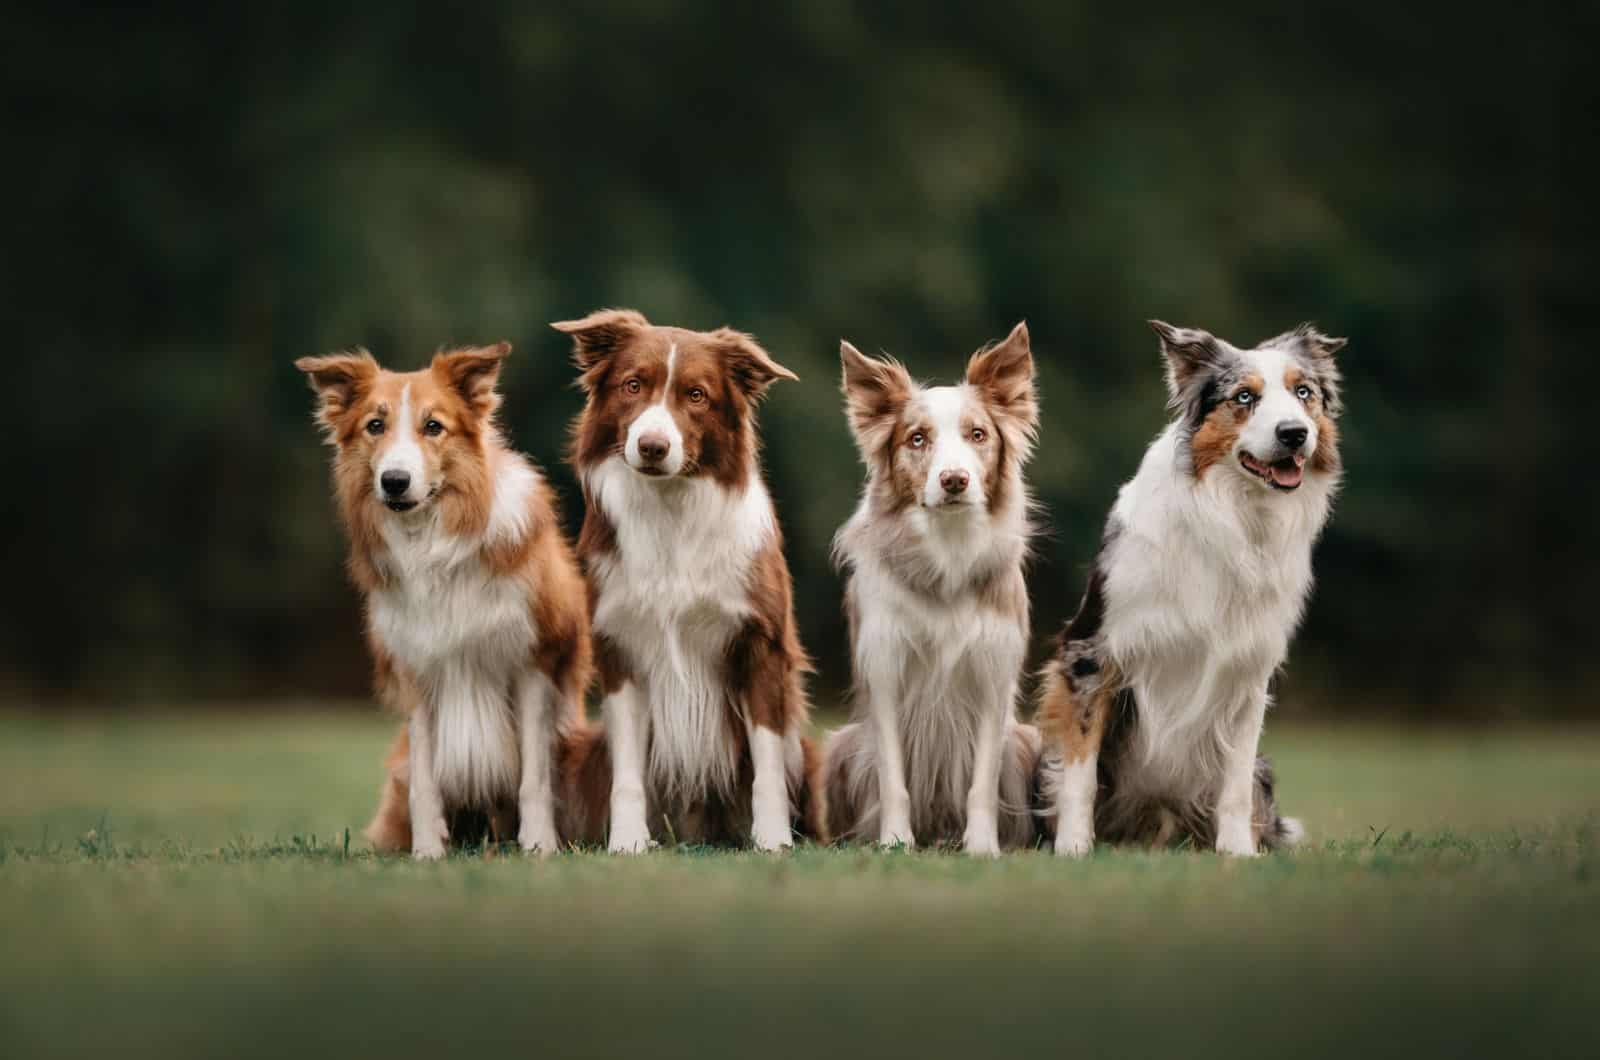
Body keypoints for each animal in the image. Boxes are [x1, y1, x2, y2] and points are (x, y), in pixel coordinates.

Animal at [292, 344, 588, 858]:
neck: (432, 539)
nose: (394, 481)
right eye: (375, 425)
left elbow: (533, 777)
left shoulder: (532, 663)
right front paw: (428, 853)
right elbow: (425, 784)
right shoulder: (417, 670)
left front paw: (539, 846)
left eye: (434, 426)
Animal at [553, 309, 819, 858]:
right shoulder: (620, 648)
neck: (670, 509)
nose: (653, 447)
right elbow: (628, 772)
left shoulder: (762, 646)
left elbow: (767, 764)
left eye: (696, 395)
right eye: (633, 385)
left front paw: (772, 838)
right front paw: (627, 842)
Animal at [819, 323, 1043, 858]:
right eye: (917, 439)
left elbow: (981, 781)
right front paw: (895, 841)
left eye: (978, 435)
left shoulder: (993, 672)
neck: (948, 554)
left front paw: (982, 847)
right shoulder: (884, 668)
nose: (954, 480)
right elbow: (893, 777)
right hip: (840, 744)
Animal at [1043, 320, 1344, 858]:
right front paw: (1073, 848)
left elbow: (1235, 781)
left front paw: (1238, 853)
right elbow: (1079, 766)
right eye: (1244, 396)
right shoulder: (1090, 652)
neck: (1236, 517)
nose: (1295, 433)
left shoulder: (1248, 671)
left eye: (1303, 393)